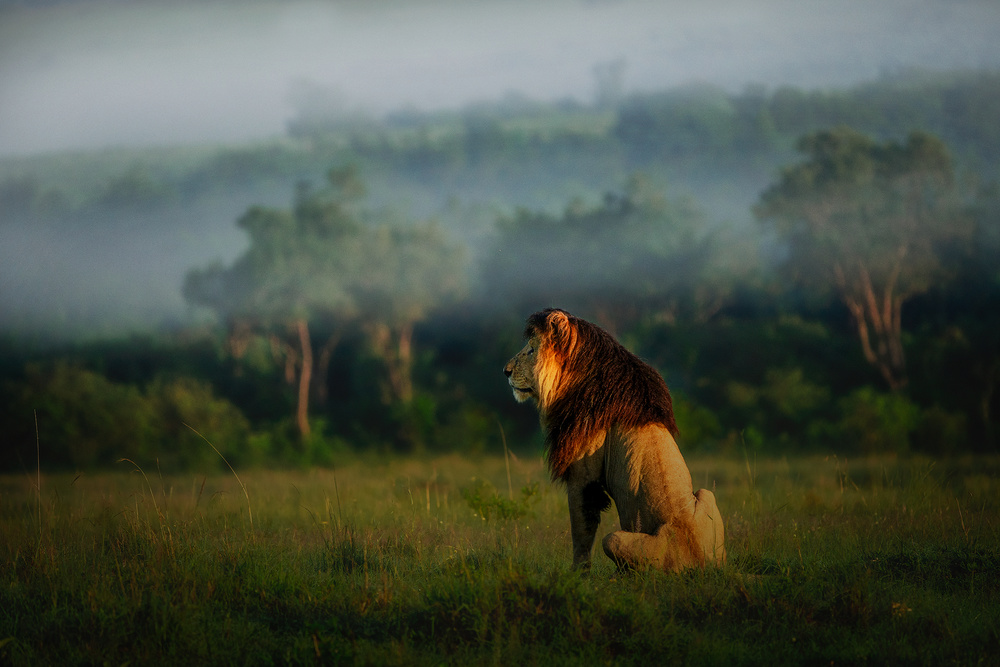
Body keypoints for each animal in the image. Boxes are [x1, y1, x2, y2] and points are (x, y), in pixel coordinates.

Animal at [500, 310, 728, 572]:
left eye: (531, 349)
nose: (505, 371)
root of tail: (698, 561)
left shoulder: (582, 475)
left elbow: (581, 531)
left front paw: (576, 575)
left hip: (617, 540)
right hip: (707, 496)